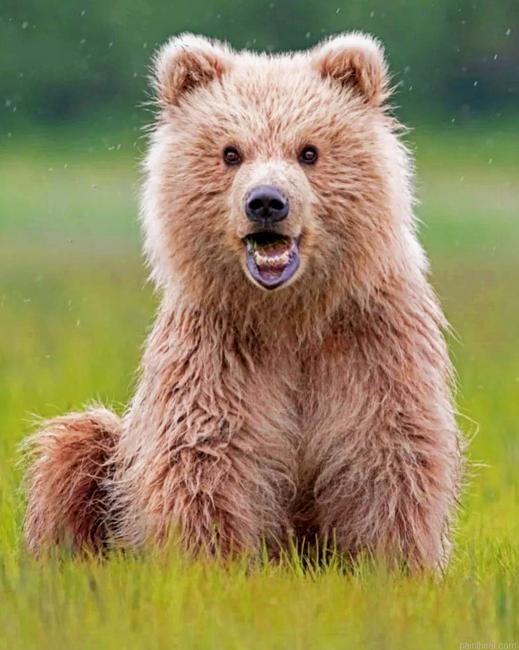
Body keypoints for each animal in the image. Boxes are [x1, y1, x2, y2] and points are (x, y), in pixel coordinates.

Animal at [24, 32, 462, 571]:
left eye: (309, 151)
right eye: (231, 152)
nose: (267, 201)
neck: (290, 316)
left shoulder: (368, 346)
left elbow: (387, 453)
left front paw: (388, 564)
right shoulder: (220, 351)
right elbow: (209, 456)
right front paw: (214, 563)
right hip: (115, 455)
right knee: (75, 445)